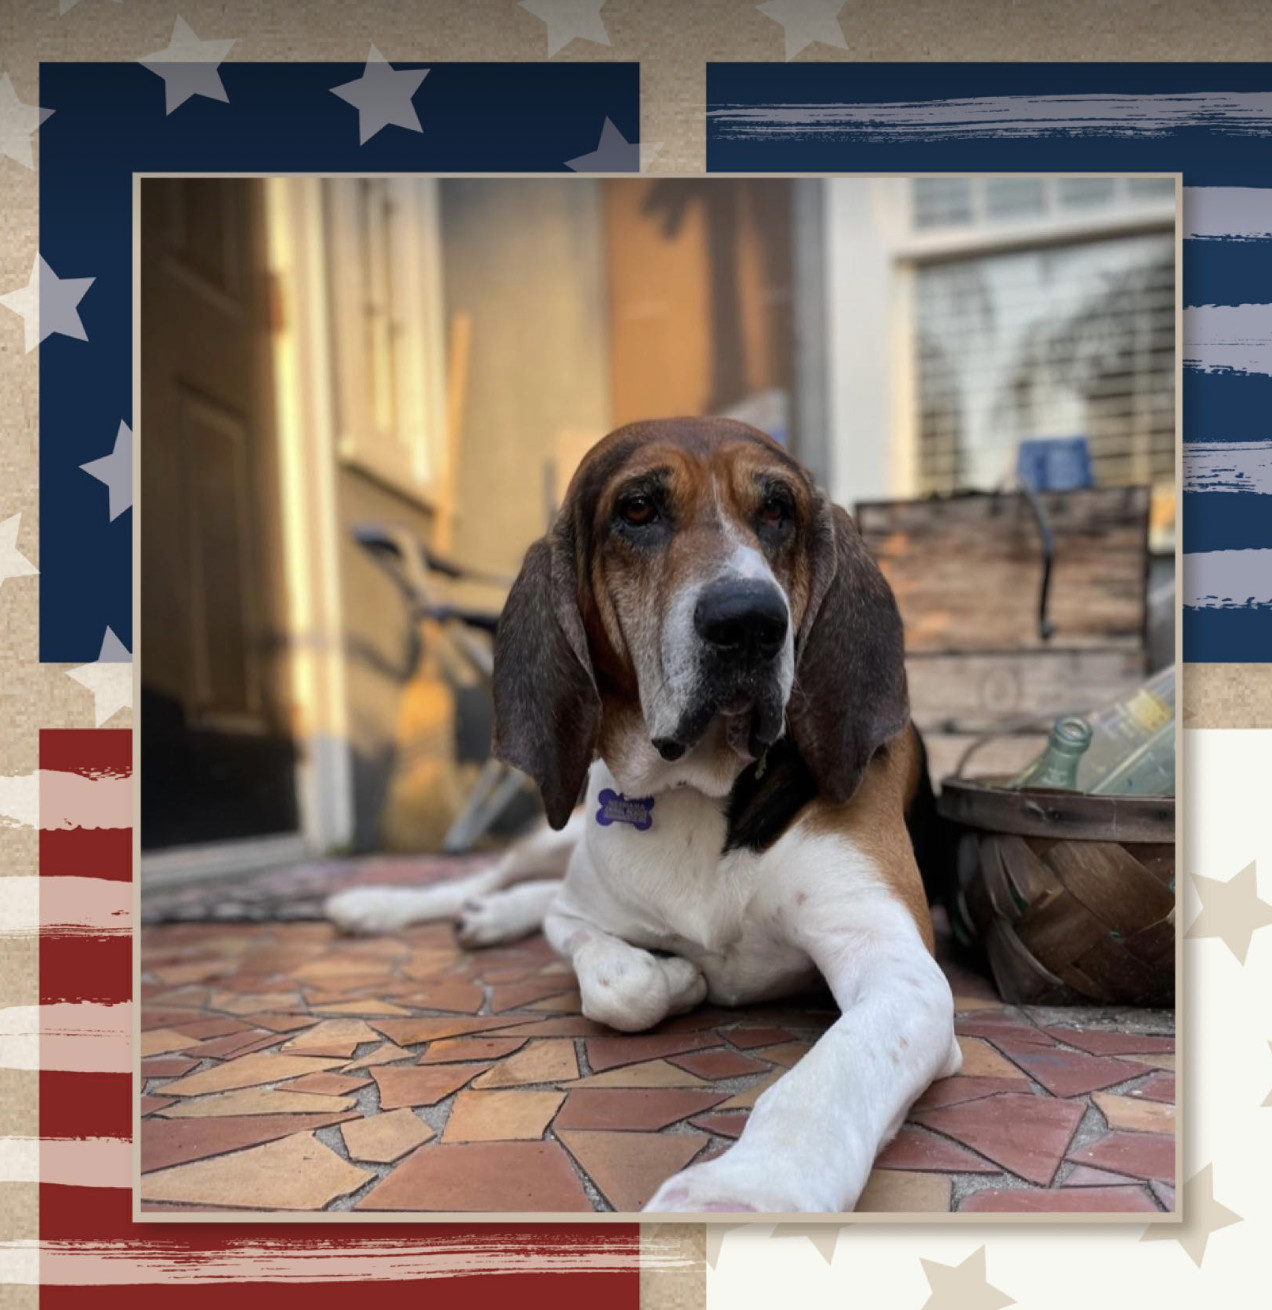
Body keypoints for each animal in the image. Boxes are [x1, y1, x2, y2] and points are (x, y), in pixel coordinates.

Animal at [323, 419, 958, 1215]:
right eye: (637, 510)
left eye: (778, 510)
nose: (750, 620)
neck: (696, 791)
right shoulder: (580, 915)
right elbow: (617, 982)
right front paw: (676, 977)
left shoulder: (901, 974)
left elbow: (829, 1076)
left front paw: (745, 1193)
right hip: (553, 836)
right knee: (492, 877)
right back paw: (387, 906)